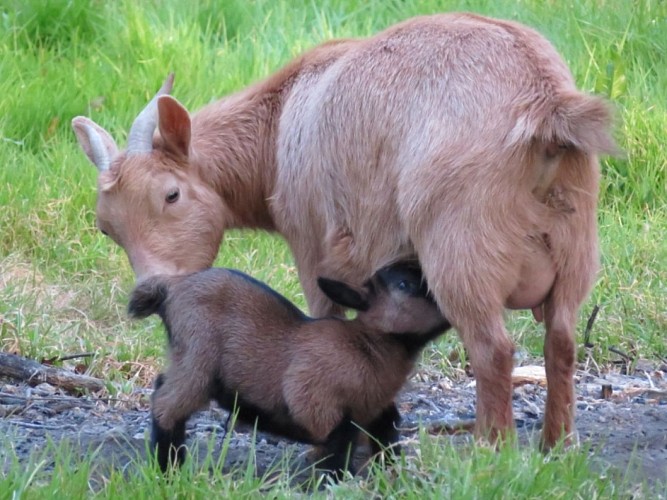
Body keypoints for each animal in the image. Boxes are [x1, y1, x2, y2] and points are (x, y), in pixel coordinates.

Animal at [72, 12, 616, 450]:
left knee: (493, 350)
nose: (152, 287)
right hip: (576, 251)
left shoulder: (313, 243)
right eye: (106, 227)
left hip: (461, 250)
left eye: (171, 195)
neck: (280, 121)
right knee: (562, 342)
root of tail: (545, 104)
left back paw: (490, 449)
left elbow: (324, 319)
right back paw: (557, 446)